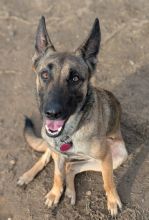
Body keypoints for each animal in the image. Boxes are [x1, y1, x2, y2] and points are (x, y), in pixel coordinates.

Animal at [17, 16, 127, 216]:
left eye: (75, 78)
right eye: (44, 74)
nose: (52, 113)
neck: (71, 132)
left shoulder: (106, 158)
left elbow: (108, 182)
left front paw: (113, 201)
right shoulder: (57, 151)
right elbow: (57, 176)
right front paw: (55, 193)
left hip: (117, 155)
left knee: (71, 166)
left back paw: (70, 190)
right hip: (52, 145)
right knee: (49, 157)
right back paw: (29, 175)